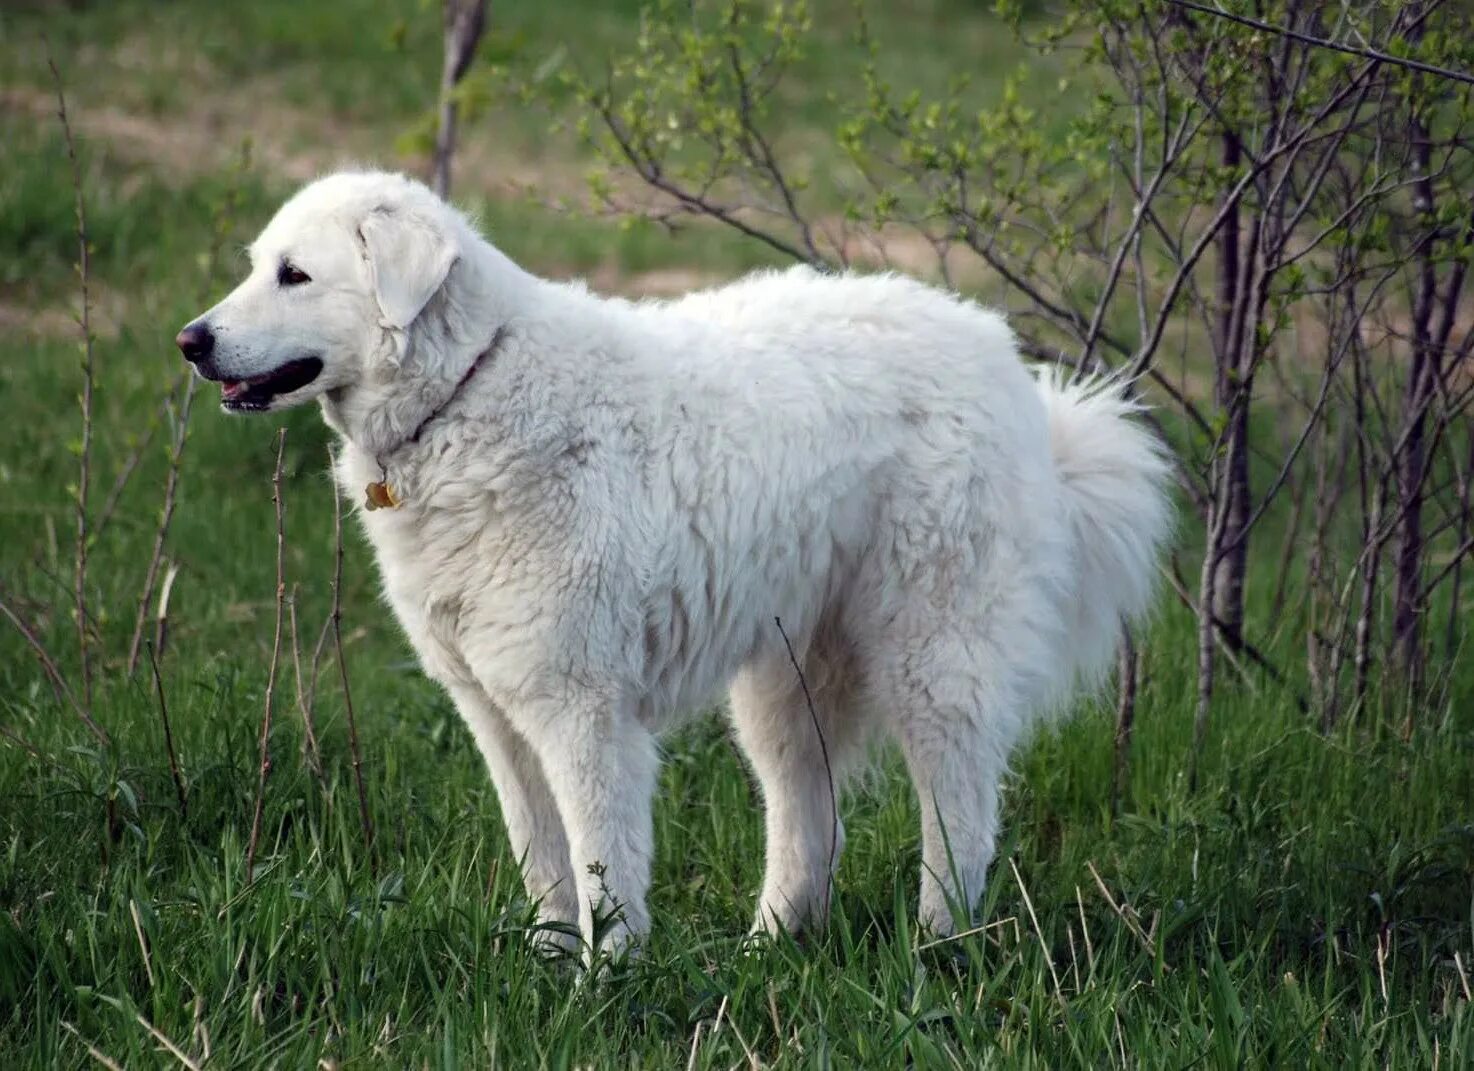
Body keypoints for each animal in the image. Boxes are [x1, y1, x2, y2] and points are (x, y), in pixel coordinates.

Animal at [178, 171, 1167, 960]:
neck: (467, 389)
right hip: (782, 688)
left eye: (295, 275)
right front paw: (546, 969)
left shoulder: (582, 711)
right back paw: (768, 948)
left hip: (932, 658)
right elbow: (543, 861)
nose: (190, 341)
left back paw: (938, 948)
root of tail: (1005, 362)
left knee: (958, 812)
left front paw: (603, 986)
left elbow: (602, 865)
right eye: (258, 264)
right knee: (806, 819)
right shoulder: (496, 713)